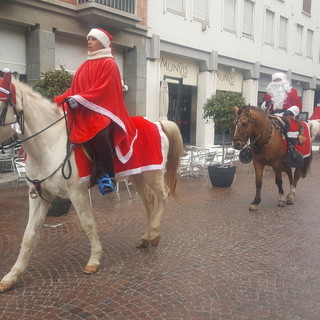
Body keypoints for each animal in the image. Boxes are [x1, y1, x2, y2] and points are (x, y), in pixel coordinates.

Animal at [0, 72, 182, 292]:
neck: (49, 144)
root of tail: (158, 124)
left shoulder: (77, 193)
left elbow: (87, 224)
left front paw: (94, 260)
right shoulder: (39, 195)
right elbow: (29, 234)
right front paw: (12, 275)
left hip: (153, 173)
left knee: (162, 196)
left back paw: (154, 235)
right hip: (138, 175)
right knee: (149, 202)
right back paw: (146, 237)